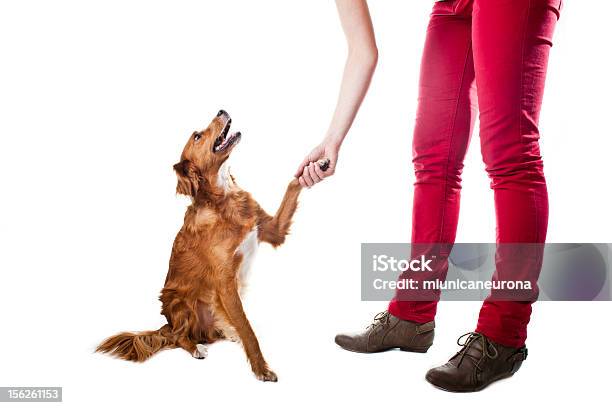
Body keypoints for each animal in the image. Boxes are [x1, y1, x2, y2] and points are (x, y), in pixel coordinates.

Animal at [98, 110, 328, 380]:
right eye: (197, 136)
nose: (221, 111)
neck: (224, 197)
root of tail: (167, 324)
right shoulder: (225, 280)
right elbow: (248, 329)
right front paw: (261, 369)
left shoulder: (272, 229)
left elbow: (293, 184)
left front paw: (318, 165)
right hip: (178, 301)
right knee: (178, 336)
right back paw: (196, 347)